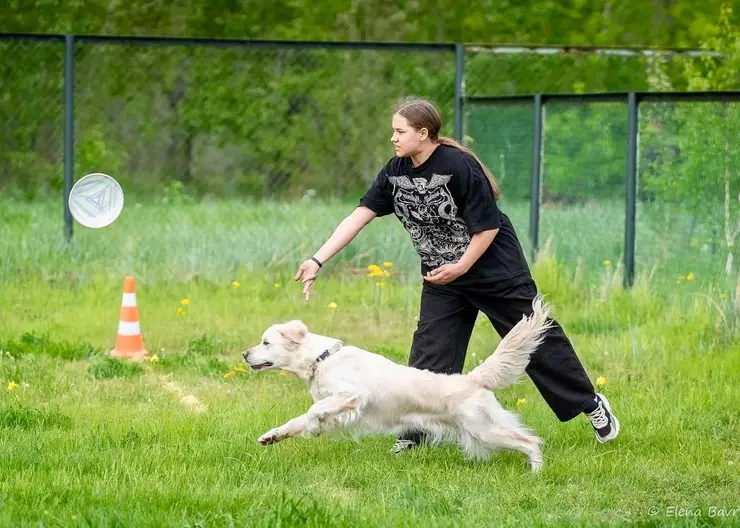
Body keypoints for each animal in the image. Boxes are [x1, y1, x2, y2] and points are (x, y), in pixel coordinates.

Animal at [243, 294, 556, 472]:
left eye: (265, 342)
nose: (245, 354)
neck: (322, 359)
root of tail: (474, 379)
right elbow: (294, 423)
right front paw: (271, 437)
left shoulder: (352, 395)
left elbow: (313, 412)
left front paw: (315, 425)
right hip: (480, 432)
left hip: (486, 429)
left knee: (531, 442)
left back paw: (536, 473)